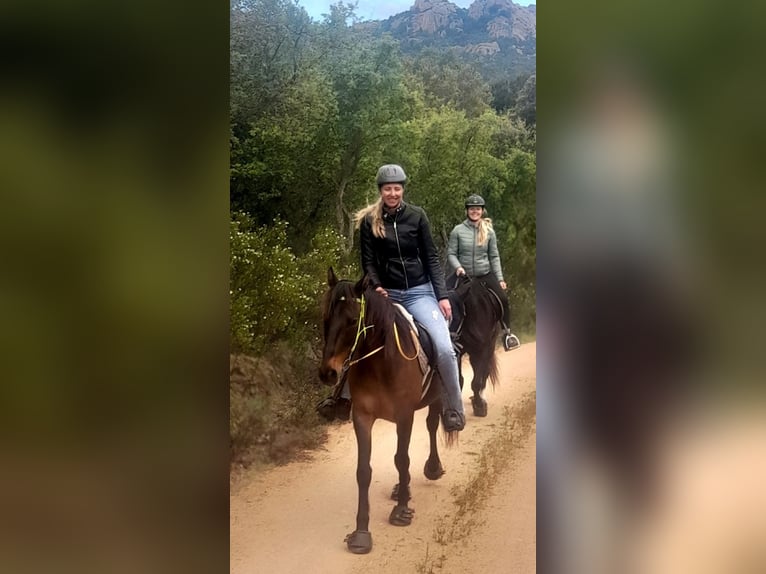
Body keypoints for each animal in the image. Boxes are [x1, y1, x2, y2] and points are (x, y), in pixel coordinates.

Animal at [318, 270, 456, 560]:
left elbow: (402, 459)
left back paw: (432, 467)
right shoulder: (362, 417)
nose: (328, 373)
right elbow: (364, 471)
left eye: (352, 321)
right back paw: (402, 488)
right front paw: (361, 533)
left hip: (436, 397)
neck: (381, 361)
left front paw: (401, 511)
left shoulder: (404, 415)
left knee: (431, 426)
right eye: (325, 317)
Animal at [450, 276, 504, 418]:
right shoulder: (458, 352)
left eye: (455, 316)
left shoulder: (483, 349)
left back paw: (480, 398)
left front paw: (480, 406)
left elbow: (477, 381)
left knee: (484, 373)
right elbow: (459, 380)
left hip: (487, 348)